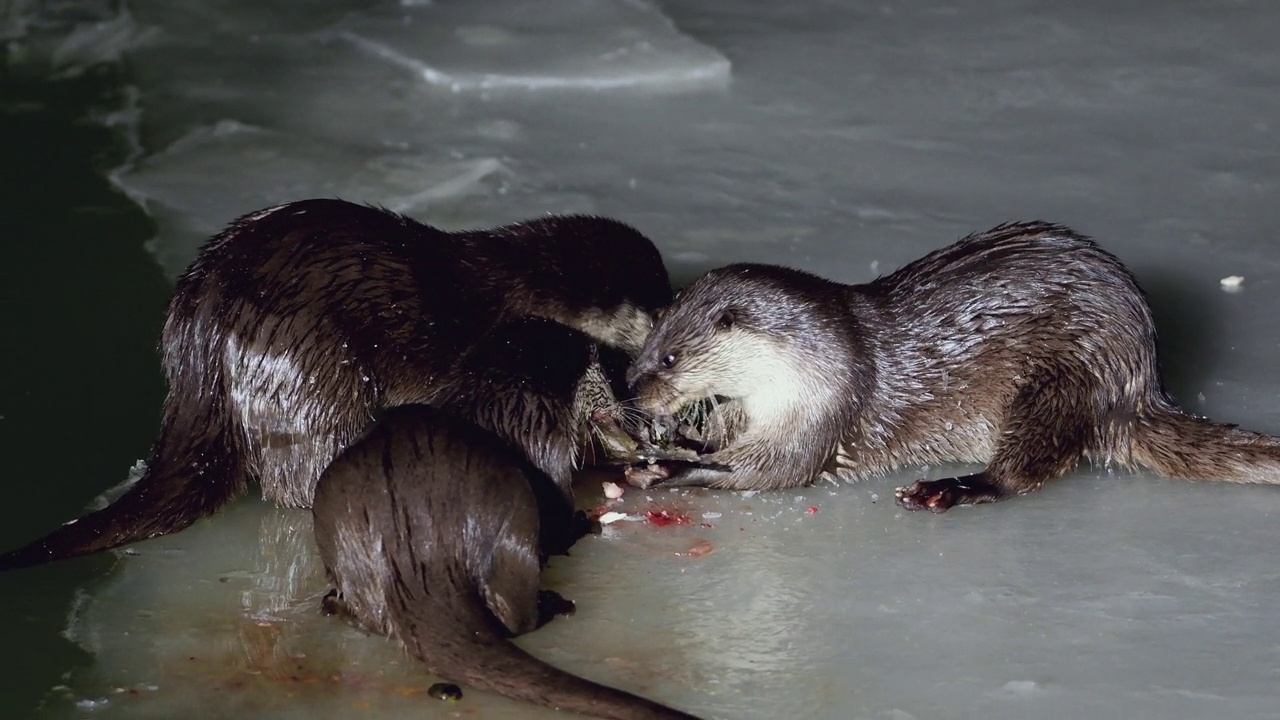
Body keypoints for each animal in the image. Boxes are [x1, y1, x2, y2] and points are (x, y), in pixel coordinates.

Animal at [5, 196, 670, 566]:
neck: (509, 291)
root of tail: (198, 344)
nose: (653, 375)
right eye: (661, 312)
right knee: (303, 477)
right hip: (313, 376)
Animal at [314, 404, 706, 717]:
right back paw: (554, 603)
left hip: (343, 540)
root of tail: (422, 557)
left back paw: (332, 603)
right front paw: (579, 524)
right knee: (518, 616)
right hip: (514, 531)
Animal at [624, 221, 1280, 507]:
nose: (632, 392)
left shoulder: (824, 406)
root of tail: (1141, 381)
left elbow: (774, 472)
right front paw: (673, 446)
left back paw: (953, 488)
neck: (809, 361)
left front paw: (670, 470)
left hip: (1066, 380)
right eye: (644, 346)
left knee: (1027, 466)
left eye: (670, 357)